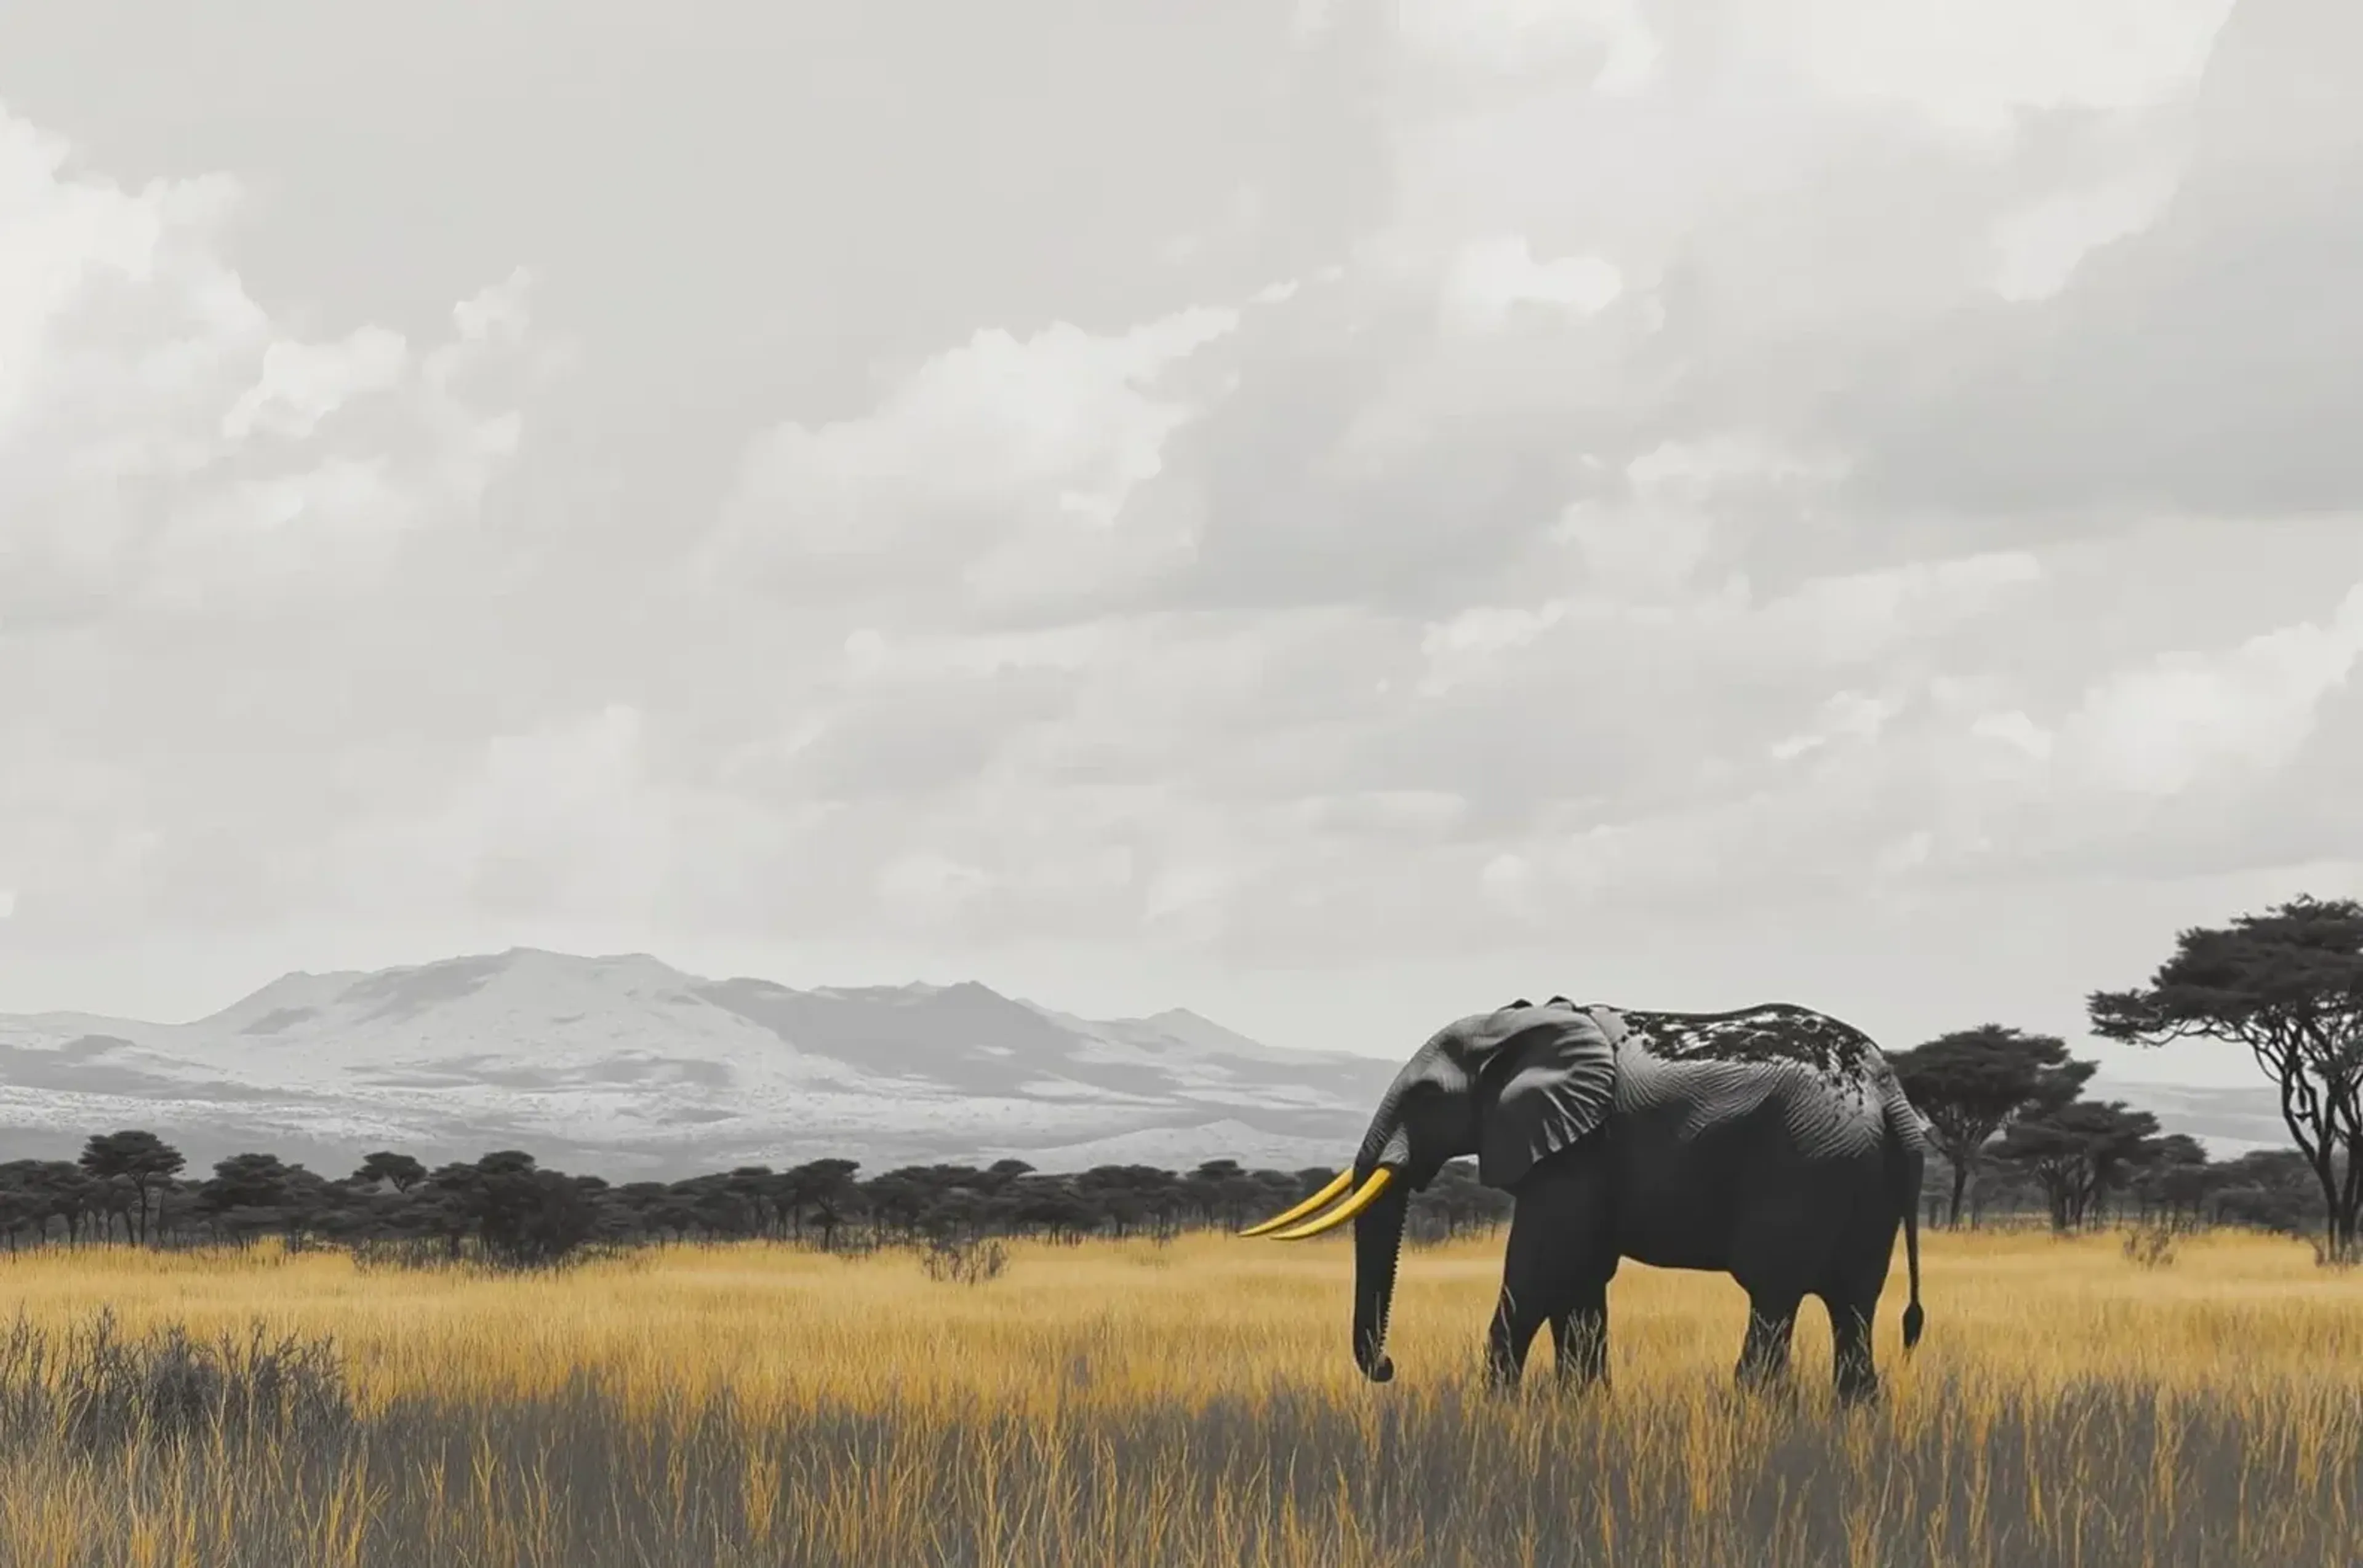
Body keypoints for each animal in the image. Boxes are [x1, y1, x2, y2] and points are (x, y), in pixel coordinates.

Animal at [1242, 997, 1928, 1404]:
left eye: (1428, 1097)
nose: (1387, 1368)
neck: (1520, 1026)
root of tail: (1888, 1090)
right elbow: (1580, 1279)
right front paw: (1584, 1406)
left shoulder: (1577, 1150)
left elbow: (1540, 1269)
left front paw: (1495, 1407)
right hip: (1861, 1174)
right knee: (1854, 1301)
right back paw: (1854, 1414)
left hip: (1807, 1164)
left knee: (1774, 1292)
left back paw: (1749, 1409)